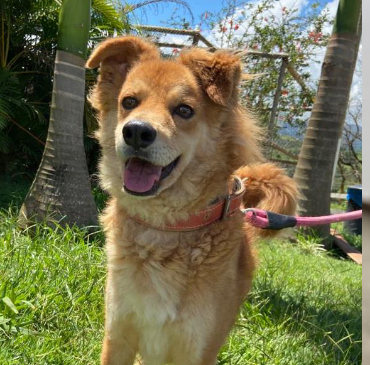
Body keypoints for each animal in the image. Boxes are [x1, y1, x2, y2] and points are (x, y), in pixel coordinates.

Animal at [86, 36, 298, 364]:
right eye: (129, 102)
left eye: (184, 110)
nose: (135, 131)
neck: (167, 227)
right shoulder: (118, 334)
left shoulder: (198, 348)